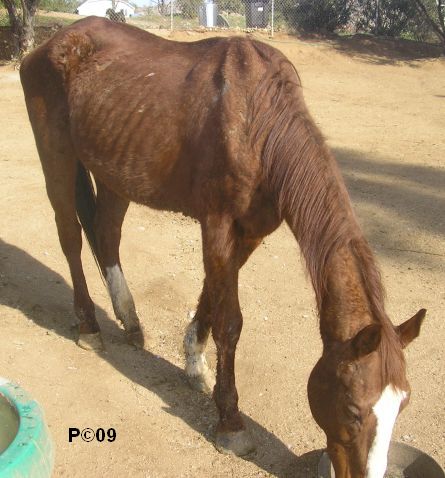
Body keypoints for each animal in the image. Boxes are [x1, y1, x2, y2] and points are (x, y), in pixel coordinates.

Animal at [21, 17, 426, 478]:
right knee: (70, 235)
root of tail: (54, 42)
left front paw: (194, 362)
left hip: (113, 171)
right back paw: (88, 325)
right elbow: (230, 321)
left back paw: (130, 321)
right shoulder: (216, 225)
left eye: (402, 406)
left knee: (105, 234)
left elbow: (211, 300)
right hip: (57, 155)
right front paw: (230, 422)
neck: (259, 122)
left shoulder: (250, 232)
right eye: (355, 409)